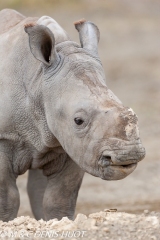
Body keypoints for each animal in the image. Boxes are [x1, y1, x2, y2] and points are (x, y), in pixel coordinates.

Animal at [0, 9, 145, 221]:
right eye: (78, 120)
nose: (129, 154)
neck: (39, 79)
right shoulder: (4, 136)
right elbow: (6, 199)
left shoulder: (74, 144)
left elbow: (59, 197)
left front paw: (58, 221)